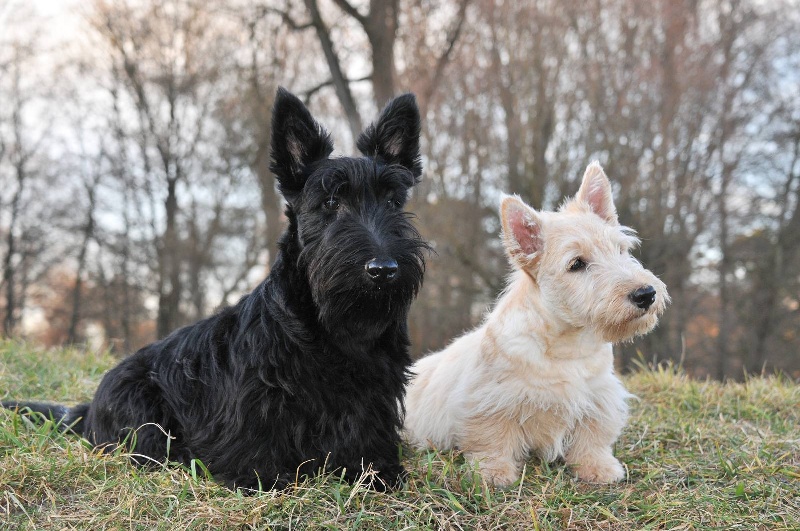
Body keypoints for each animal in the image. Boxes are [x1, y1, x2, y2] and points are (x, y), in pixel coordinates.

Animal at [3, 87, 428, 490]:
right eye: (330, 202)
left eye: (393, 201)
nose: (383, 270)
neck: (335, 326)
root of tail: (88, 409)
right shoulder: (258, 399)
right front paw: (260, 477)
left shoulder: (374, 397)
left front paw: (378, 471)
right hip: (141, 405)